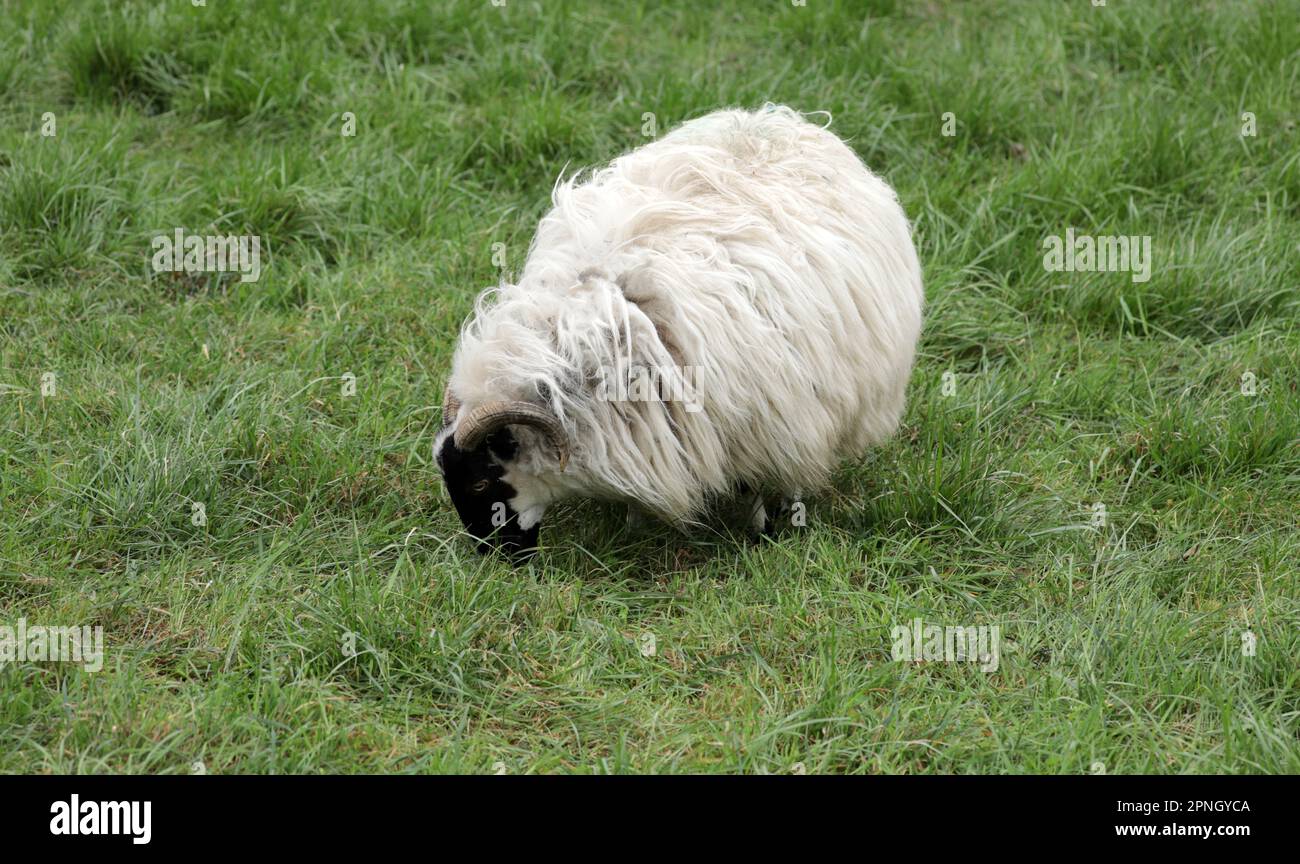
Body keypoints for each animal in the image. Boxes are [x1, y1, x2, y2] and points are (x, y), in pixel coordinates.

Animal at [436, 105, 924, 559]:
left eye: (479, 483)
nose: (497, 558)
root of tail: (784, 119)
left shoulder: (757, 417)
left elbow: (756, 485)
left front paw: (761, 530)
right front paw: (634, 523)